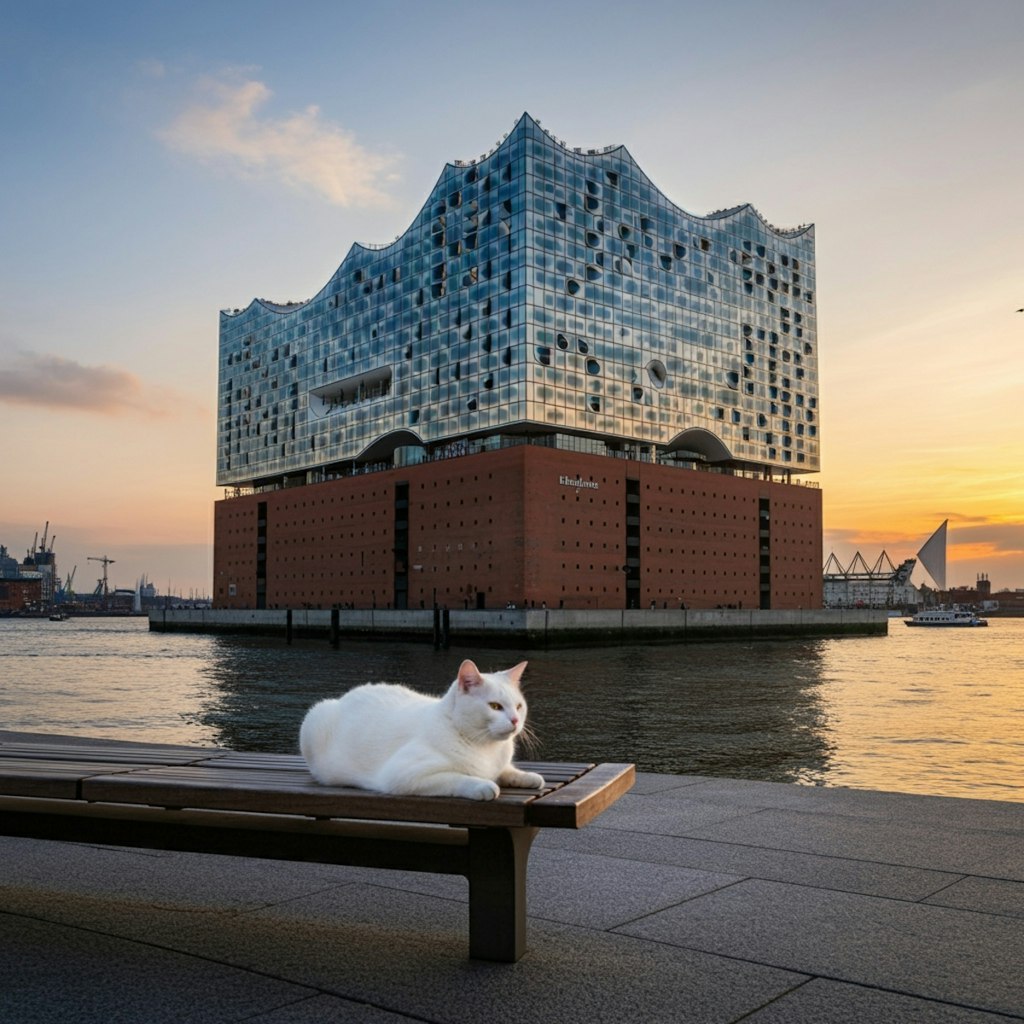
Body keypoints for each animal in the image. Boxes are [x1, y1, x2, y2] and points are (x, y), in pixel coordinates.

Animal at [299, 663, 548, 798]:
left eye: (519, 706)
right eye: (495, 706)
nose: (515, 720)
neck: (487, 749)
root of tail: (347, 696)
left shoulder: (500, 764)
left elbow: (507, 771)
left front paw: (527, 777)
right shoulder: (404, 775)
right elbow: (457, 777)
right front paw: (483, 785)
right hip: (315, 717)